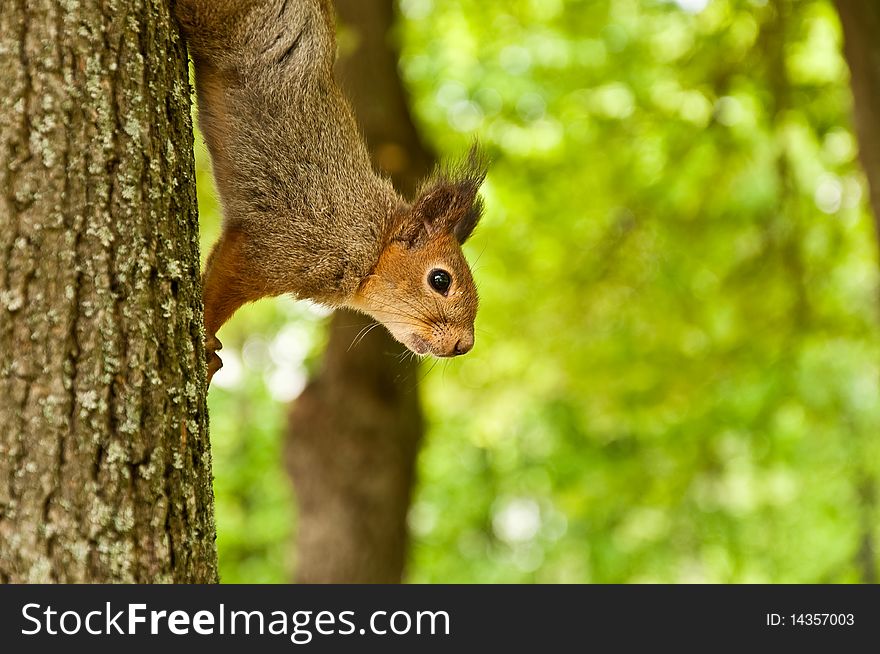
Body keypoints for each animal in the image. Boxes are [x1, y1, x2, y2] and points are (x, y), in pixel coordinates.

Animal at [172, 0, 488, 384]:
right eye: (440, 279)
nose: (464, 345)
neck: (371, 240)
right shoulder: (276, 247)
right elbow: (222, 288)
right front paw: (205, 334)